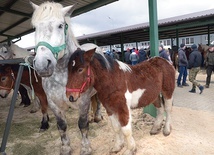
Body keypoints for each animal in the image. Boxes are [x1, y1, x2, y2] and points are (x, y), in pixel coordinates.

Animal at [30, 1, 101, 155]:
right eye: (35, 28)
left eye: (60, 25)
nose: (42, 64)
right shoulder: (54, 104)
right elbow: (61, 126)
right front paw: (65, 148)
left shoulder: (83, 102)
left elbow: (82, 124)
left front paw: (85, 148)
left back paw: (98, 116)